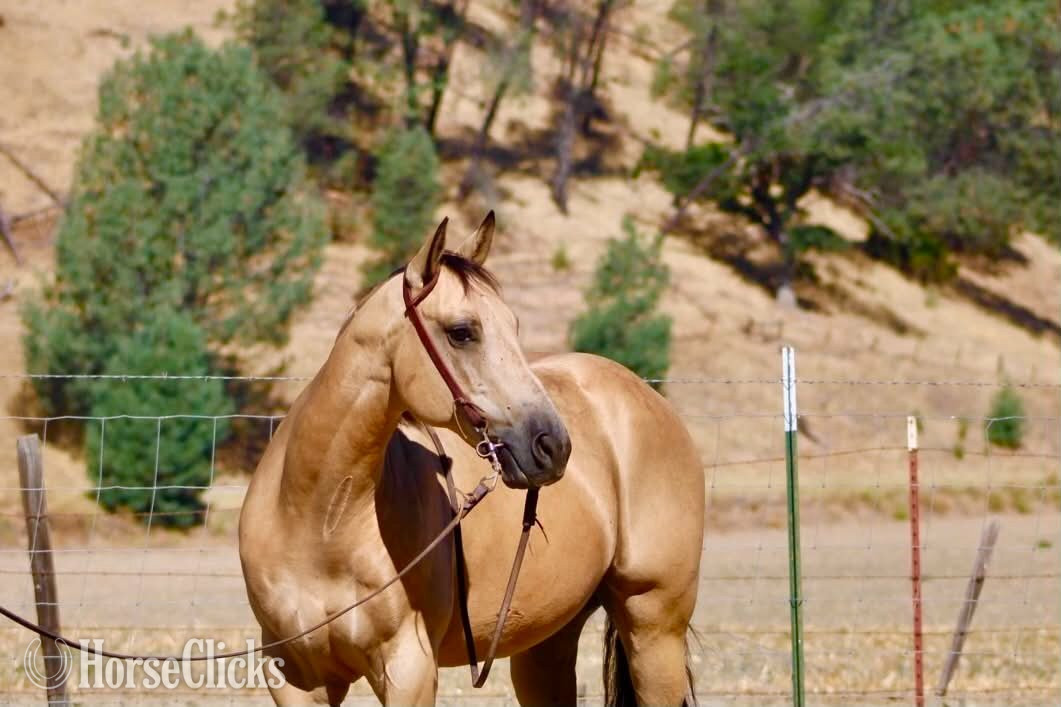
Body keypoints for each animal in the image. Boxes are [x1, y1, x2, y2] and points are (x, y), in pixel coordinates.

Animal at [239, 213, 705, 705]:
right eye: (462, 331)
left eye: (513, 326)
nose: (553, 445)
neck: (320, 519)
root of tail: (646, 395)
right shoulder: (294, 676)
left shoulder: (409, 669)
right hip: (547, 645)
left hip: (653, 630)